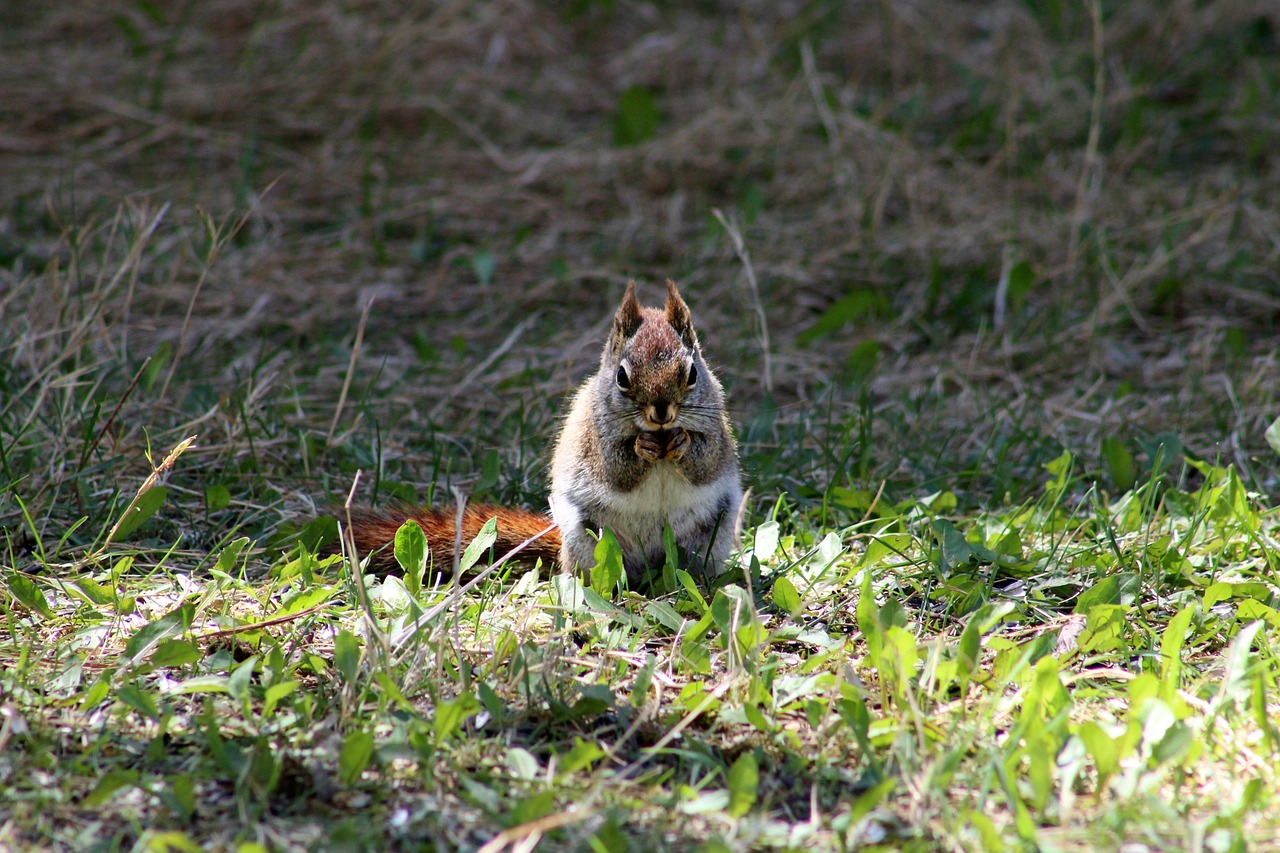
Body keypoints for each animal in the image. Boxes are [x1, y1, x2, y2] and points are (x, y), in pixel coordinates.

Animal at [335, 279, 747, 584]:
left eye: (691, 373)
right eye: (622, 377)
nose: (661, 412)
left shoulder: (716, 431)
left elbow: (705, 460)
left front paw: (682, 442)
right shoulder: (595, 441)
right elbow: (616, 470)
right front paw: (640, 447)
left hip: (710, 534)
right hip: (587, 537)